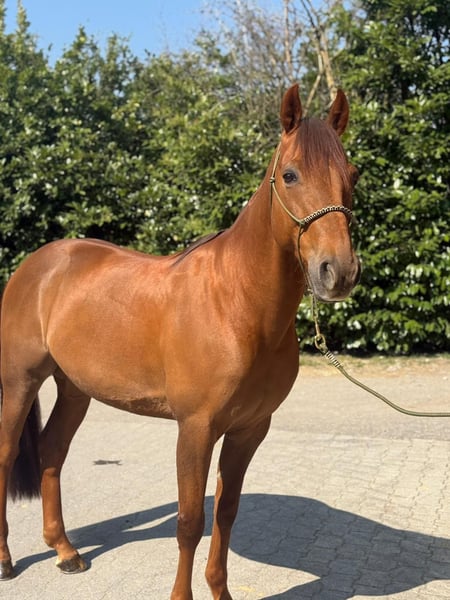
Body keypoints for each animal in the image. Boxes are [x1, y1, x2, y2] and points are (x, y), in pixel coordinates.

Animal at [0, 84, 360, 599]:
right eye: (290, 175)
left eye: (353, 175)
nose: (339, 271)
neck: (237, 304)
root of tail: (38, 264)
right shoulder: (195, 428)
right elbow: (190, 521)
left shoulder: (250, 429)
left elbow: (226, 514)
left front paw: (221, 591)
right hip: (20, 381)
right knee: (7, 456)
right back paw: (7, 560)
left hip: (75, 389)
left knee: (52, 452)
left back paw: (66, 552)